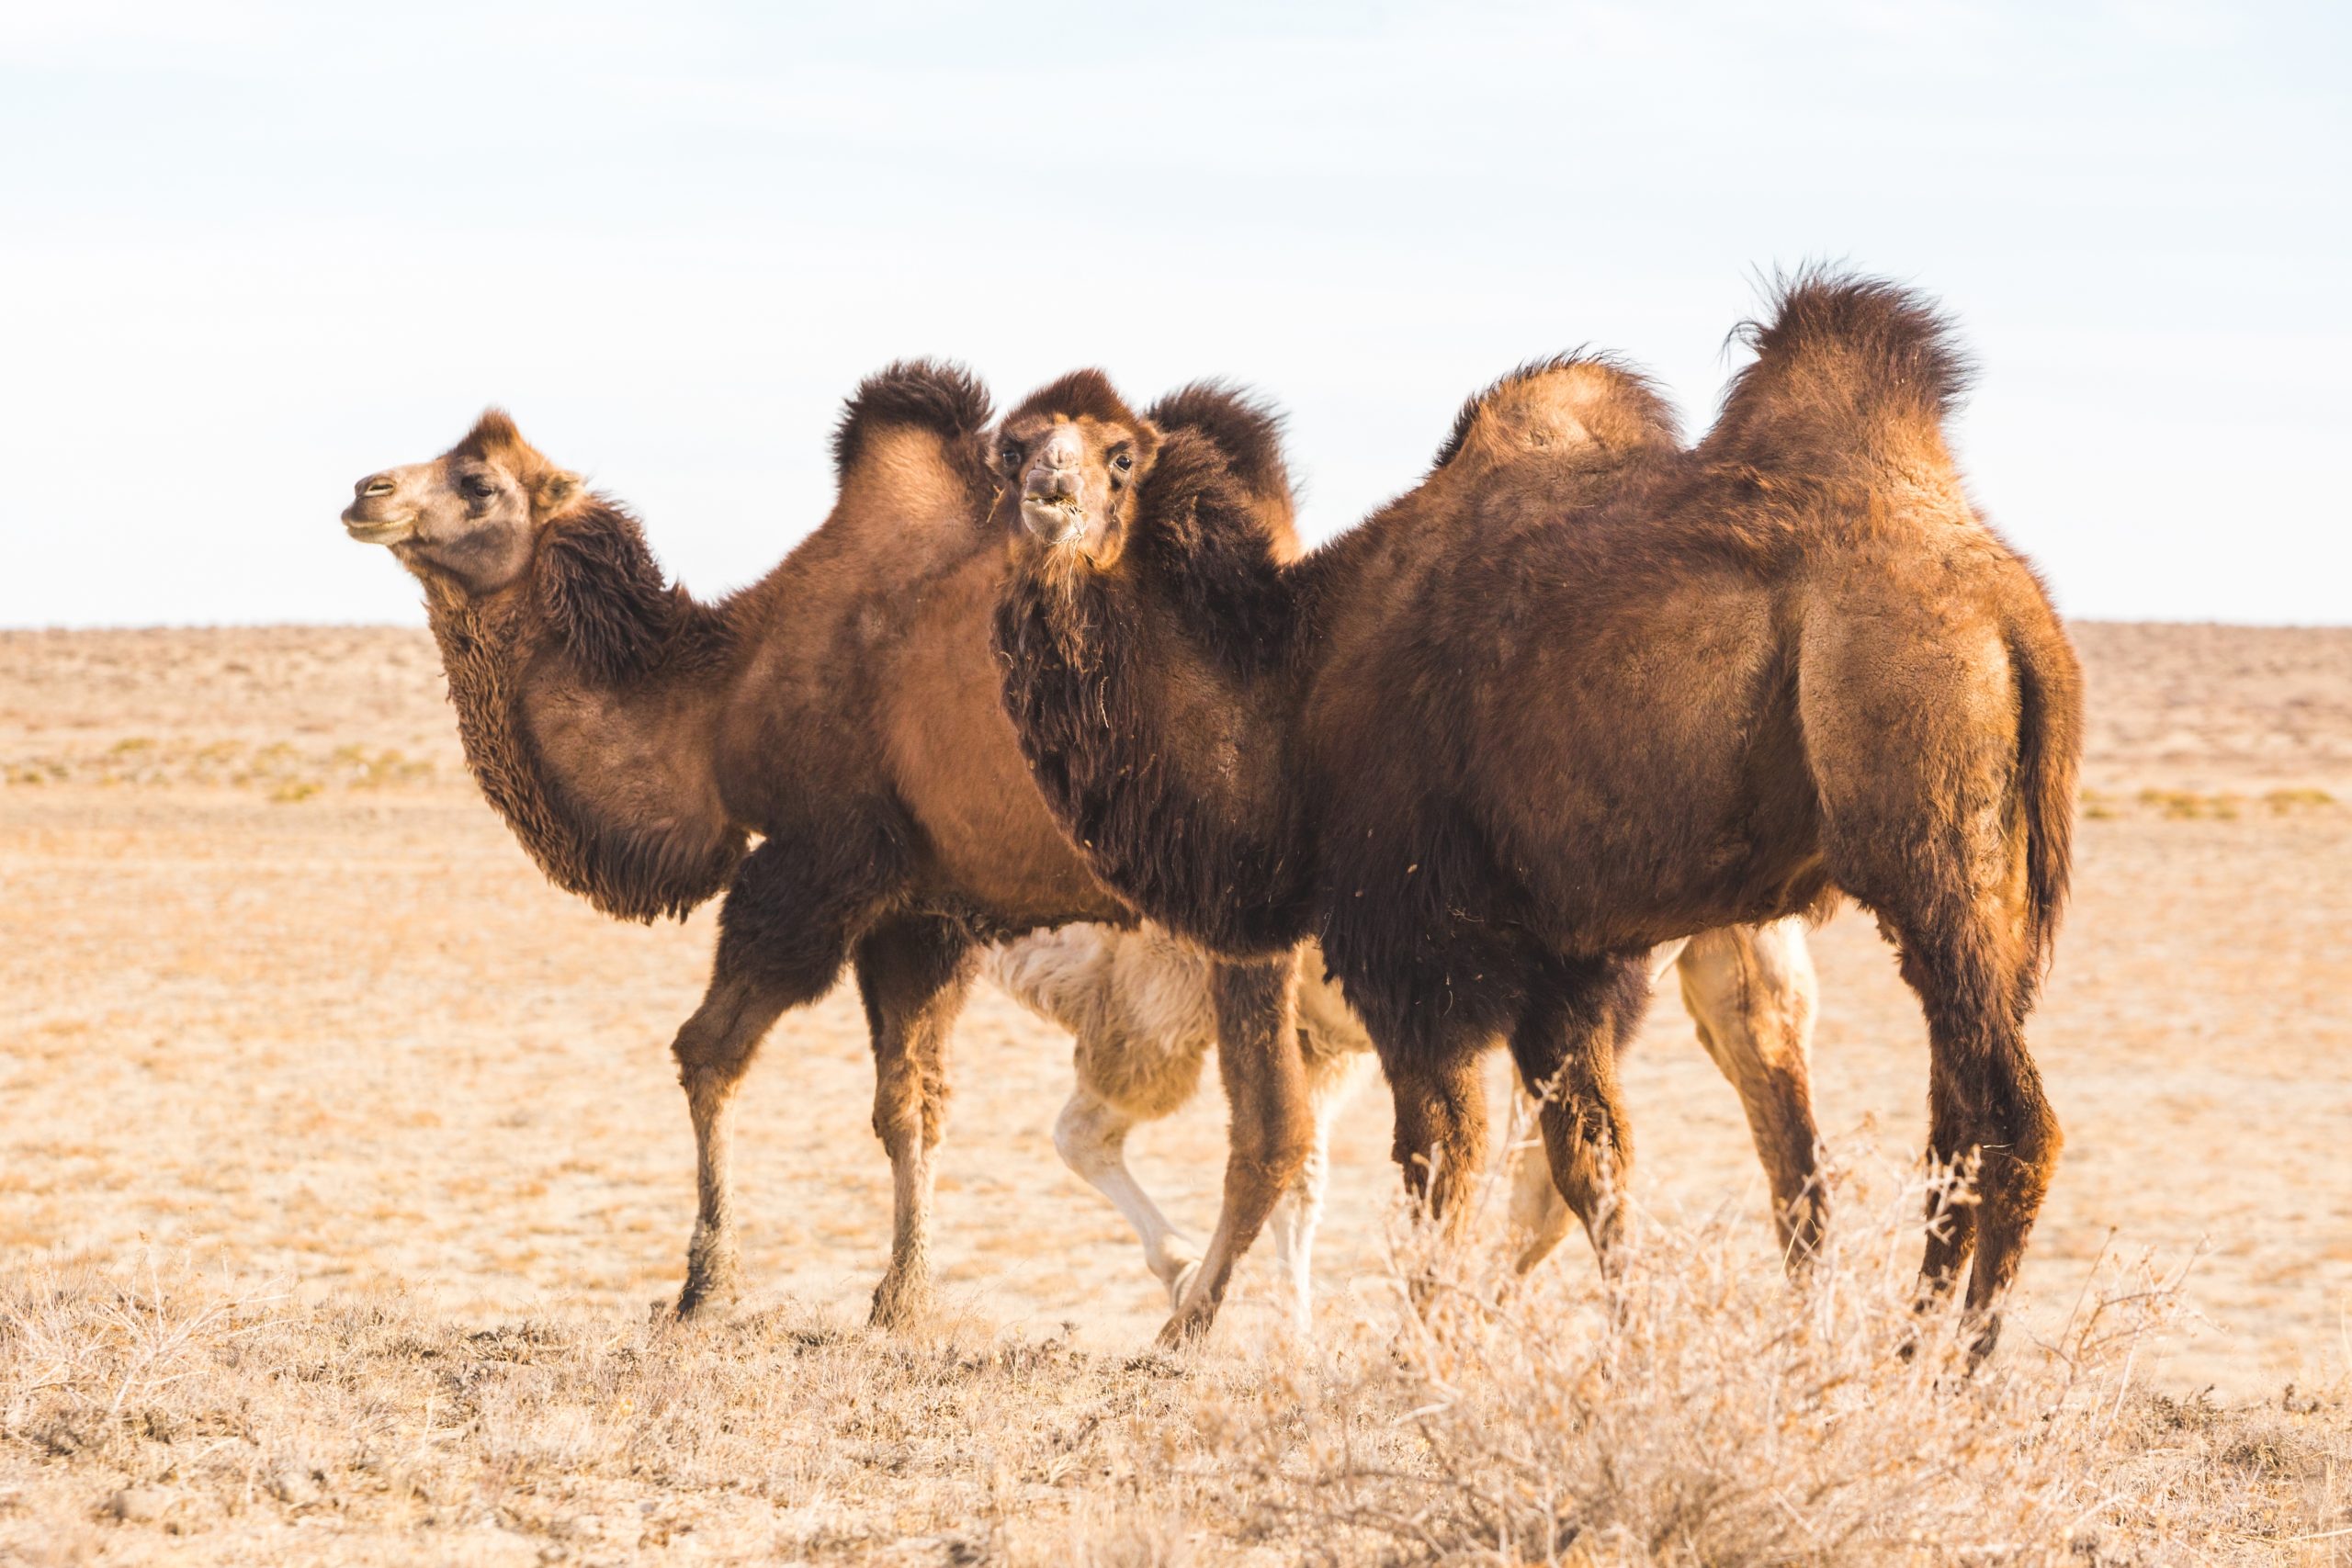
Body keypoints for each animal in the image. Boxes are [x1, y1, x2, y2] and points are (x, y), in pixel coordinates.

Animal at [337, 373, 1321, 1341]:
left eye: (477, 482)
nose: (365, 492)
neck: (717, 703)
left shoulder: (815, 864)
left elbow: (709, 1052)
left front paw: (706, 1289)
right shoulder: (921, 907)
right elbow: (910, 1100)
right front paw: (903, 1300)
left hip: (1245, 921)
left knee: (1273, 1134)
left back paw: (1189, 1325)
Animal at [991, 920, 1822, 1331]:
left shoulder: (1156, 997)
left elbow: (1094, 1133)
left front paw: (1185, 1284)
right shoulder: (1312, 1038)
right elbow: (1303, 1178)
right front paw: (1294, 1345)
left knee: (1536, 1173)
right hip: (1740, 961)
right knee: (1791, 1162)